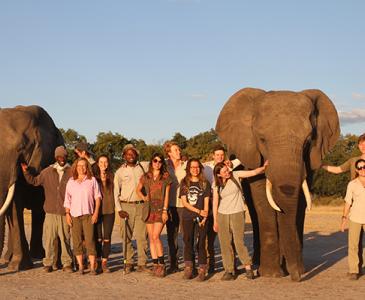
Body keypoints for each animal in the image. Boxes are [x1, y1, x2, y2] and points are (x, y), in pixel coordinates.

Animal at [0, 105, 63, 270]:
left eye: (21, 148)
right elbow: (15, 207)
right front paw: (17, 266)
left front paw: (17, 266)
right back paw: (8, 259)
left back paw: (38, 255)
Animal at [216, 87, 338, 282]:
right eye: (262, 139)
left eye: (308, 140)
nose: (296, 277)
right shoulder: (253, 155)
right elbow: (262, 198)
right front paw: (272, 274)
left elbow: (300, 202)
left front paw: (298, 269)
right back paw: (258, 263)